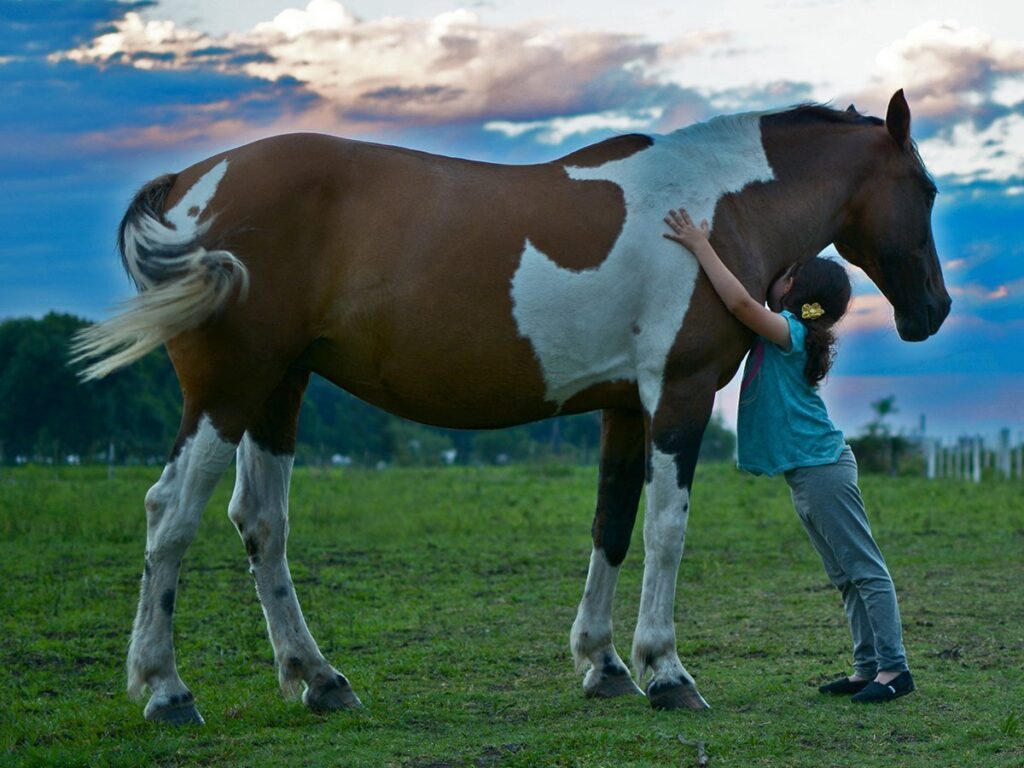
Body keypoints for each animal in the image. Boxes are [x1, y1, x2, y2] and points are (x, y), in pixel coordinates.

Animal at [74, 90, 950, 729]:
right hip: (229, 390)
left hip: (277, 390)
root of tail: (193, 181)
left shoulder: (624, 407)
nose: (934, 311)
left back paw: (319, 680)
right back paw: (166, 690)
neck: (715, 209)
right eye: (929, 189)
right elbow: (667, 532)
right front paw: (667, 671)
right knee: (170, 513)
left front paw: (604, 665)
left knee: (260, 523)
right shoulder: (680, 393)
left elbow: (613, 525)